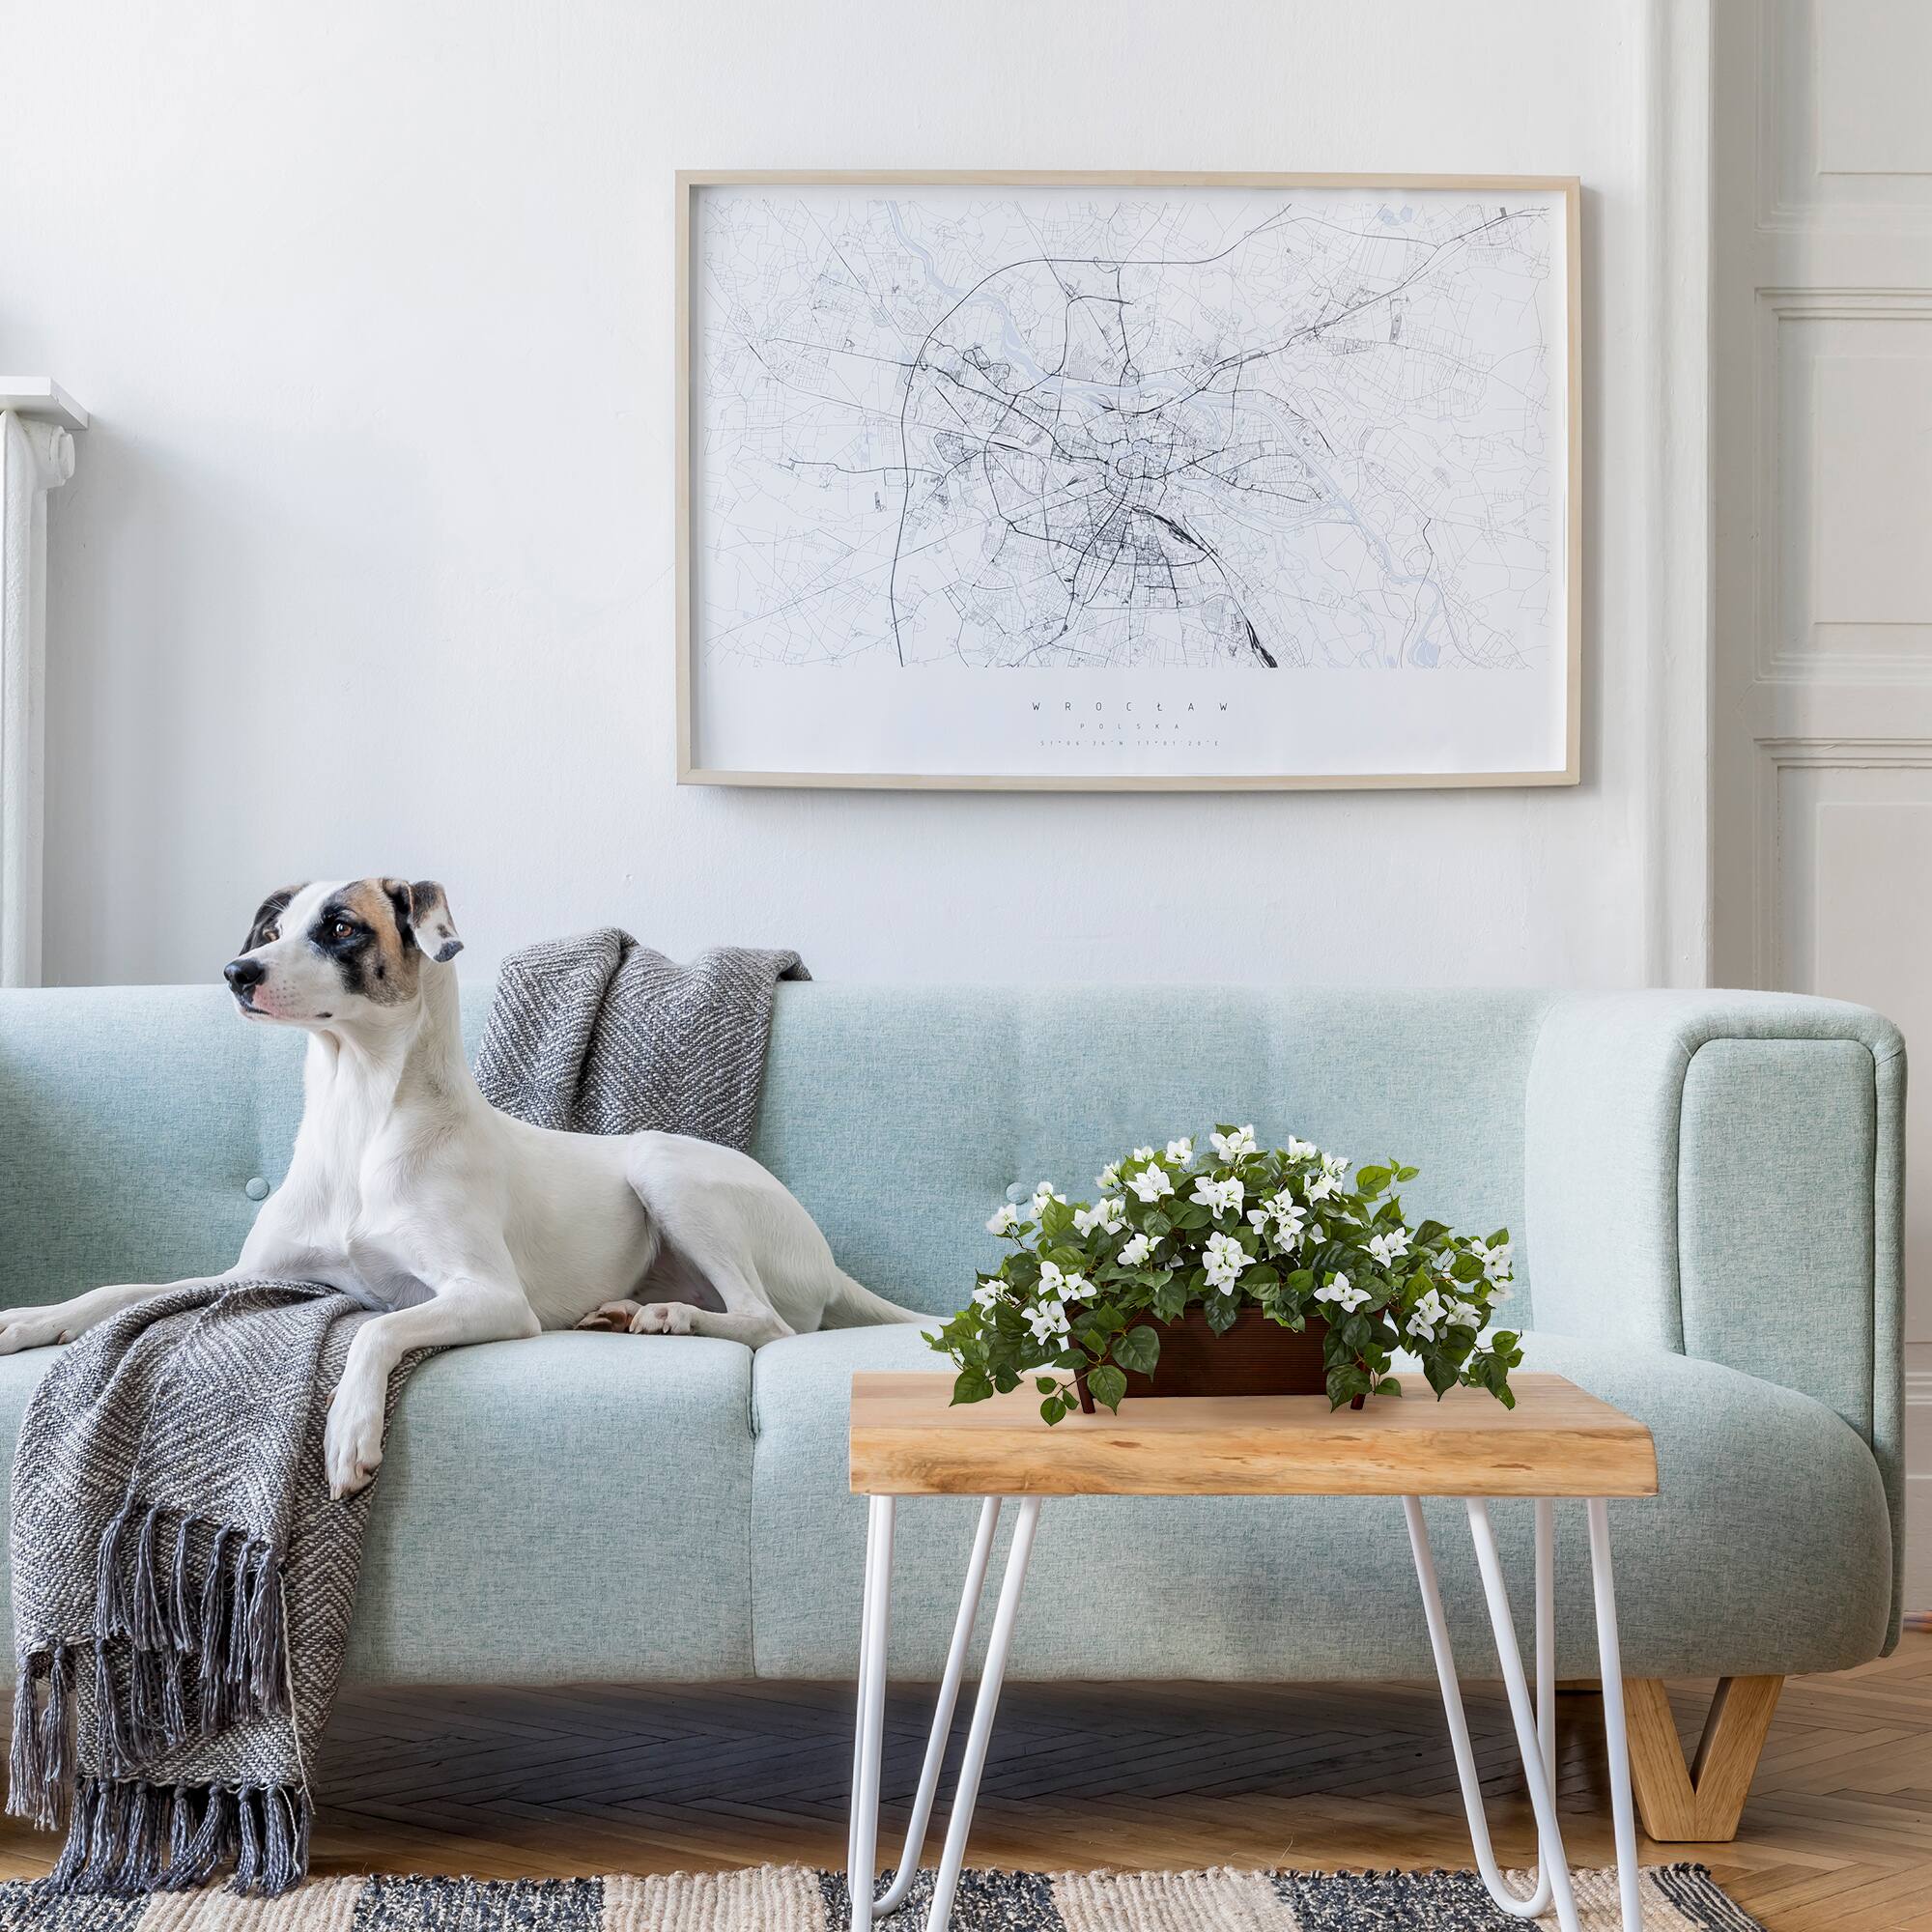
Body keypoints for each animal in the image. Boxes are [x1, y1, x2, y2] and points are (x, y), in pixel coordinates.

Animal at [0, 885, 916, 1499]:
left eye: (341, 927)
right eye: (274, 928)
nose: (236, 971)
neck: (360, 1121)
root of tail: (828, 1259)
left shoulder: (488, 1296)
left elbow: (375, 1330)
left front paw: (349, 1430)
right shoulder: (252, 1277)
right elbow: (122, 1290)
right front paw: (31, 1319)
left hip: (665, 1167)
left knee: (763, 1322)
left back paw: (667, 1317)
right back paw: (629, 1309)